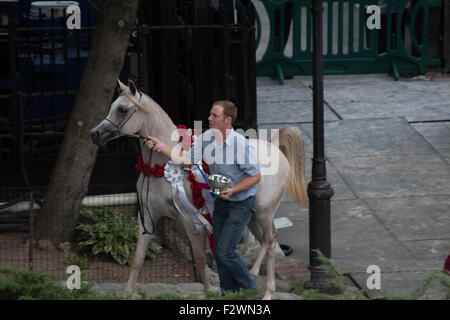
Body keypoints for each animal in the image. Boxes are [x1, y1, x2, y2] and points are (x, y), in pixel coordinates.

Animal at [91, 80, 310, 300]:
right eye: (113, 106)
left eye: (122, 109)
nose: (95, 134)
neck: (160, 168)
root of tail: (275, 148)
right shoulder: (147, 217)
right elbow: (138, 258)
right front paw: (128, 292)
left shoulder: (190, 221)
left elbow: (199, 259)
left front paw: (207, 293)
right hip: (253, 216)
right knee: (264, 240)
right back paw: (254, 274)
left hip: (265, 213)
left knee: (271, 240)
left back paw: (268, 292)